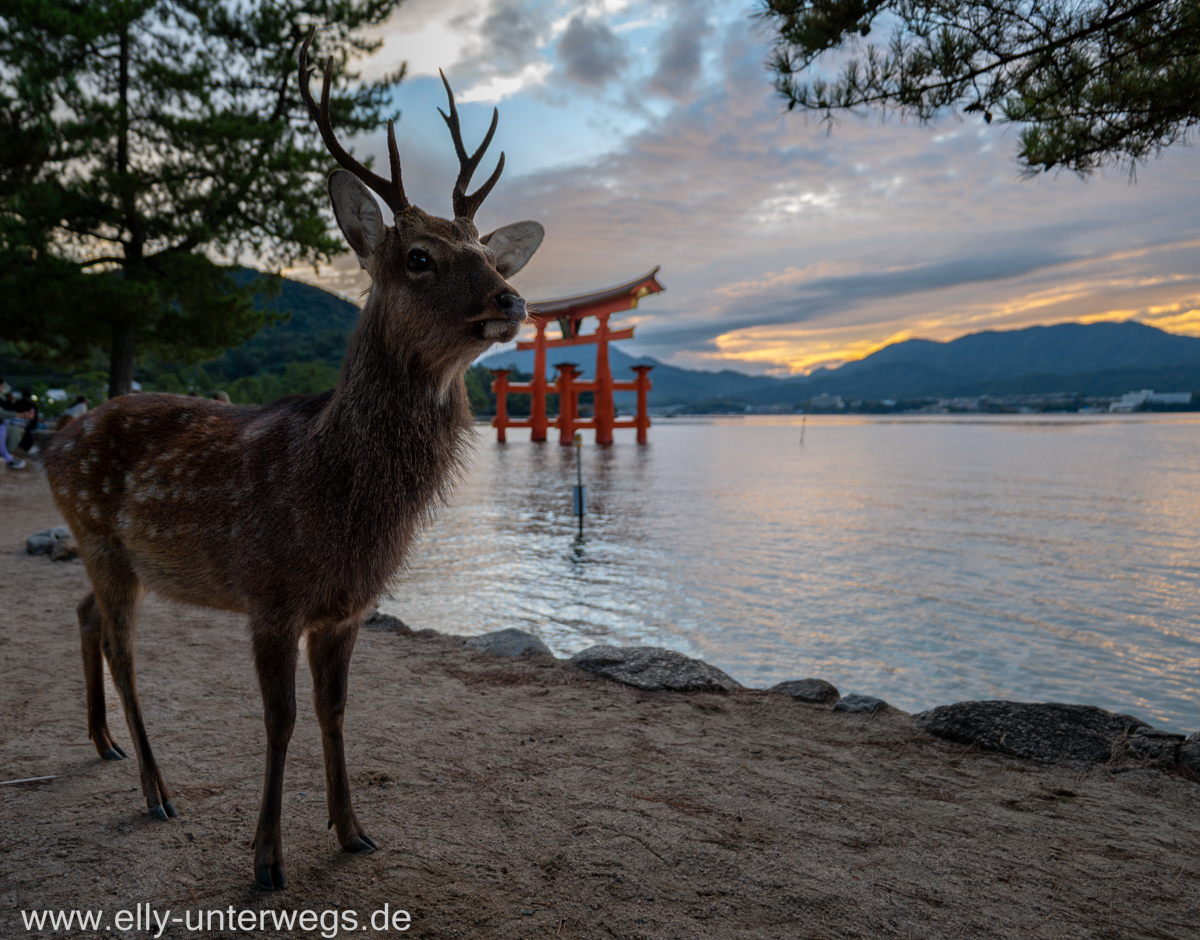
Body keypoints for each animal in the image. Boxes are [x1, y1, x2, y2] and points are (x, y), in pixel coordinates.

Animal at [39, 29, 542, 893]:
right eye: (418, 256)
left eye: (484, 249)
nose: (510, 298)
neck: (336, 498)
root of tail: (50, 438)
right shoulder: (269, 595)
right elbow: (280, 720)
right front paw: (267, 858)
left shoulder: (345, 608)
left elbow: (335, 712)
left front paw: (353, 830)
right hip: (97, 530)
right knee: (122, 647)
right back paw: (156, 788)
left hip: (116, 552)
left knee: (84, 615)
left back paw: (103, 744)